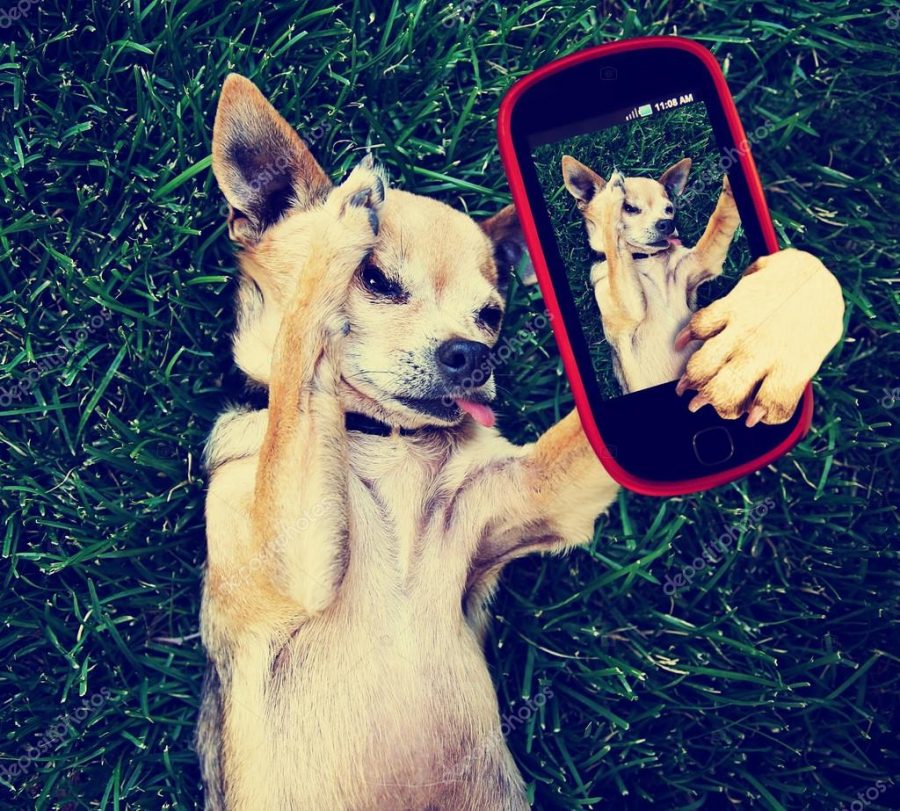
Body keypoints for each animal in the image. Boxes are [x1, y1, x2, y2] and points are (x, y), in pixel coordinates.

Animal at [568, 155, 740, 396]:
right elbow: (614, 249)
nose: (668, 223)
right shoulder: (628, 311)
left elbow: (720, 220)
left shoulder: (703, 260)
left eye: (669, 209)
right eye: (629, 208)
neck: (643, 259)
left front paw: (729, 186)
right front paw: (612, 197)